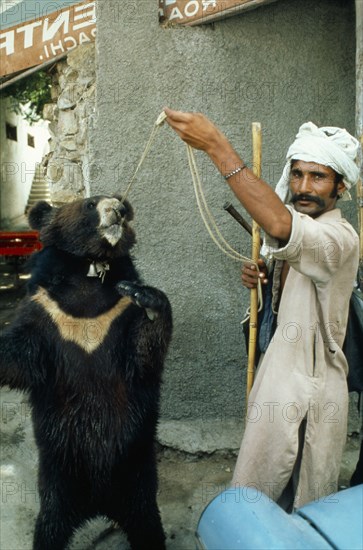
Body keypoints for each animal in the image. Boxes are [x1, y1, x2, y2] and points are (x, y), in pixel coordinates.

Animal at [0, 196, 173, 548]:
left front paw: (147, 298)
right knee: (49, 527)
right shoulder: (45, 313)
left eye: (120, 202)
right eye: (91, 204)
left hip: (136, 475)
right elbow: (19, 357)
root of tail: (99, 505)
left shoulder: (118, 316)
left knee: (147, 524)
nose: (118, 209)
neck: (89, 278)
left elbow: (143, 351)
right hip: (58, 476)